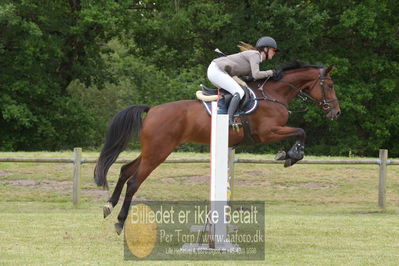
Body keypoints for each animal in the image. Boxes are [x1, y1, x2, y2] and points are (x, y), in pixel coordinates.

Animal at [94, 60, 340, 235]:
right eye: (329, 85)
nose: (336, 113)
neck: (274, 94)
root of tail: (152, 109)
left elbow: (300, 132)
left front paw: (288, 155)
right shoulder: (268, 132)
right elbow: (301, 131)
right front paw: (291, 155)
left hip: (152, 151)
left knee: (125, 170)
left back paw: (108, 206)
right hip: (158, 152)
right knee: (134, 181)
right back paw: (120, 221)